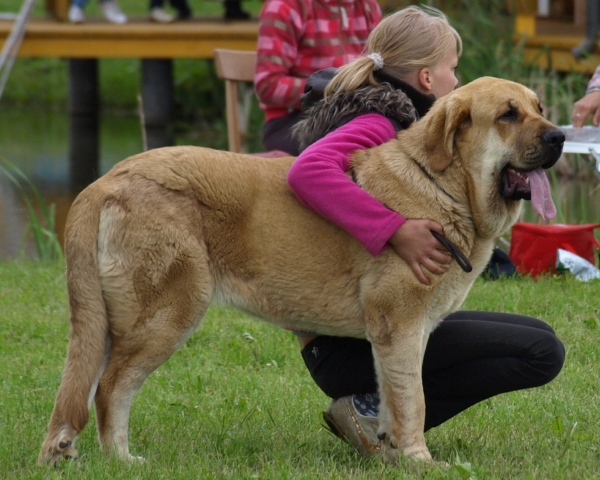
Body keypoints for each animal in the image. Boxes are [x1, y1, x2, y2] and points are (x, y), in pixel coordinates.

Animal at [39, 76, 564, 464]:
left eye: (539, 107)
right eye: (508, 115)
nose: (559, 135)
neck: (441, 185)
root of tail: (104, 181)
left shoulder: (400, 338)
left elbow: (395, 397)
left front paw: (390, 452)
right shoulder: (401, 326)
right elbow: (412, 399)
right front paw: (420, 461)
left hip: (110, 321)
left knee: (86, 385)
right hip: (167, 314)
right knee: (110, 389)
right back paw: (121, 460)